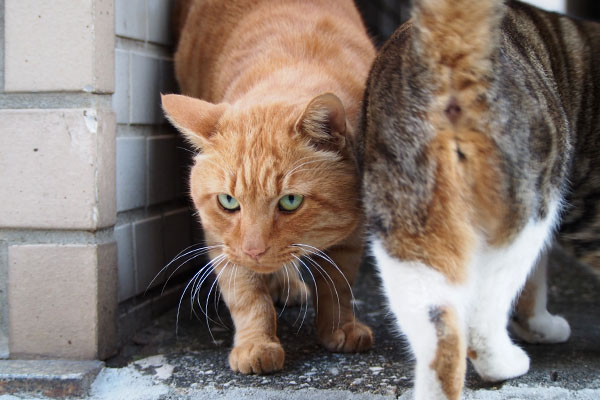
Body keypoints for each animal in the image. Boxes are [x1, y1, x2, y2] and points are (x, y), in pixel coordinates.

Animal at [159, 0, 376, 376]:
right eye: (228, 201)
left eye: (290, 201)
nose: (254, 251)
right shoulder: (222, 240)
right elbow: (247, 296)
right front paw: (256, 344)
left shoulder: (353, 229)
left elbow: (337, 282)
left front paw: (339, 327)